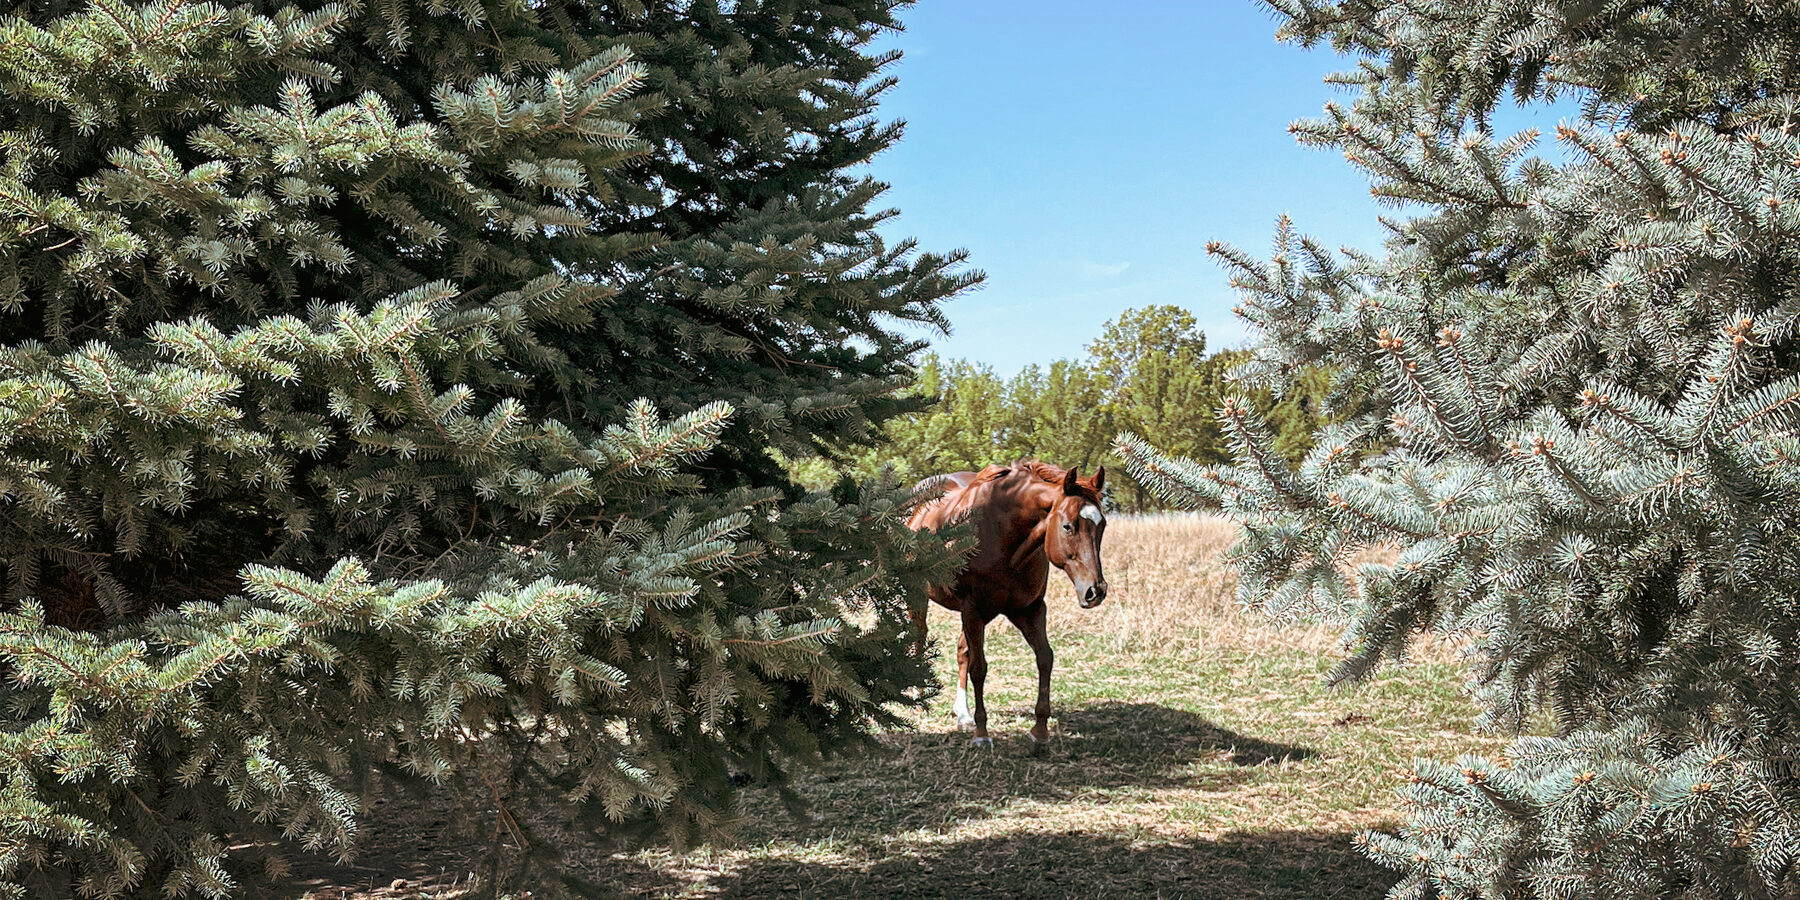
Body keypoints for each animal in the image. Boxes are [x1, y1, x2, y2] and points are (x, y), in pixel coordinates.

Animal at [907, 460, 1101, 748]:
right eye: (1068, 526)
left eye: (1102, 525)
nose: (1095, 591)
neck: (1002, 534)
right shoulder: (973, 611)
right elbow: (979, 668)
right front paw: (982, 734)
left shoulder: (1029, 610)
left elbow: (1045, 658)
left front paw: (1039, 731)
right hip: (919, 594)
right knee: (920, 638)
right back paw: (920, 696)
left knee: (962, 651)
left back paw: (963, 714)